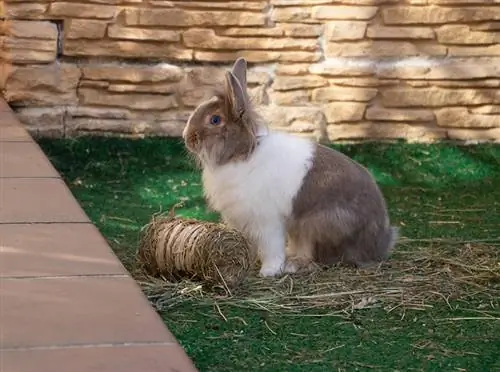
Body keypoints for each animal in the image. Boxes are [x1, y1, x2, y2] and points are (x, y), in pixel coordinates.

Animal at [182, 58, 396, 278]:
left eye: (215, 120)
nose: (187, 138)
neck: (241, 154)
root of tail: (380, 243)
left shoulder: (268, 222)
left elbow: (272, 248)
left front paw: (268, 271)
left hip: (317, 225)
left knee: (324, 258)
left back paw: (293, 265)